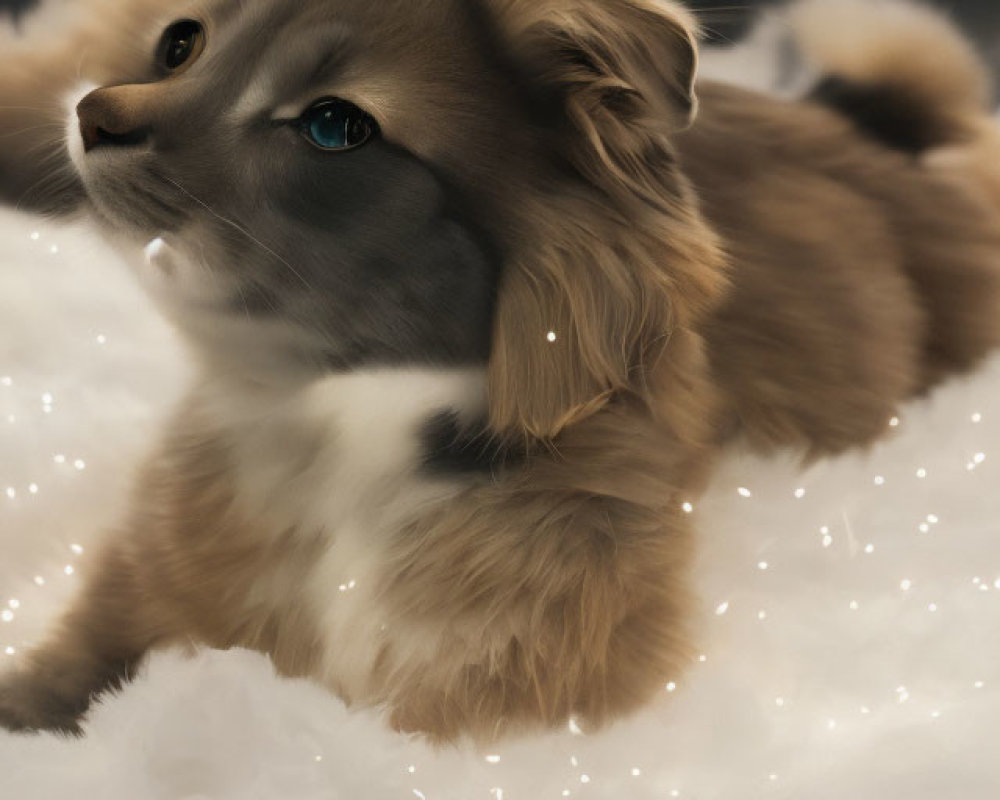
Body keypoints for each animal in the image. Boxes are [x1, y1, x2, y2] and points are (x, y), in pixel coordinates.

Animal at [0, 0, 996, 744]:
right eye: (183, 42)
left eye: (334, 125)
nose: (92, 116)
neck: (339, 425)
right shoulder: (146, 578)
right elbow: (77, 661)